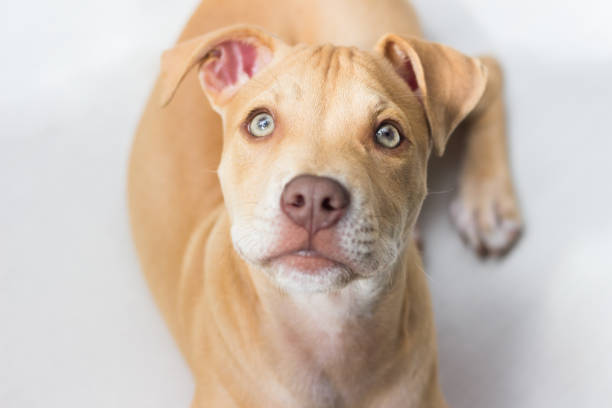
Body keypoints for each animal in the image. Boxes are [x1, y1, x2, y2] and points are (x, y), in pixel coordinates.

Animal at [128, 1, 520, 406]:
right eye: (261, 123)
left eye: (389, 134)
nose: (313, 198)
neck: (327, 324)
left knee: (490, 71)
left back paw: (486, 206)